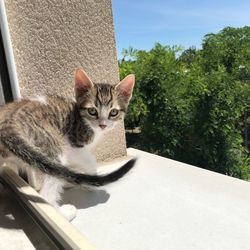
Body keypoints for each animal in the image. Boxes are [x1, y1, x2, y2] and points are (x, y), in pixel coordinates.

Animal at [0, 69, 136, 221]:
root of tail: (7, 124)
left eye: (113, 112)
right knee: (46, 193)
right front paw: (90, 184)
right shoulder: (72, 144)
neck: (82, 119)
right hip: (50, 143)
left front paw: (71, 181)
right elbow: (89, 161)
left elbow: (67, 171)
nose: (103, 125)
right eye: (92, 111)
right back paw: (64, 213)